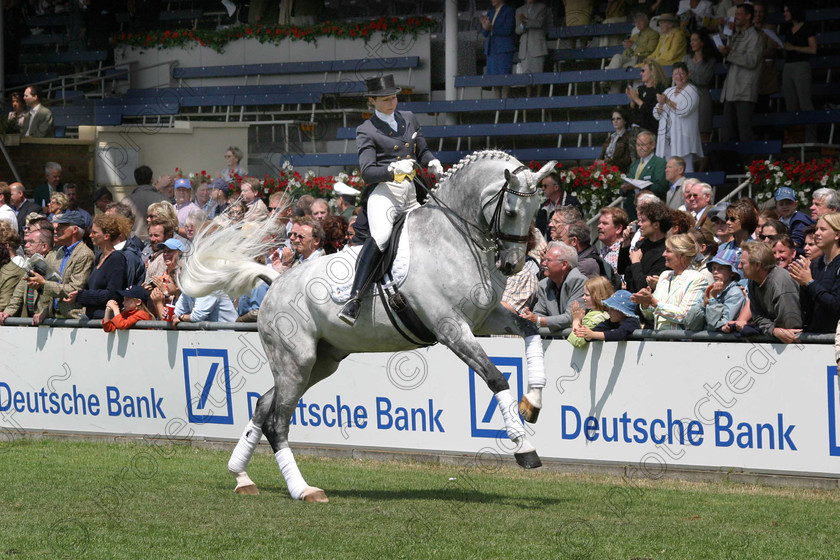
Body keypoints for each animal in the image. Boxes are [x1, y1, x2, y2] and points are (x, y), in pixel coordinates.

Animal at [180, 150, 556, 504]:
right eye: (511, 212)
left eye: (537, 208)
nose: (512, 265)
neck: (453, 240)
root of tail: (275, 282)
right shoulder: (452, 328)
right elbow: (496, 378)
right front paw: (524, 447)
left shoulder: (486, 317)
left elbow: (531, 331)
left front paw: (532, 403)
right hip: (295, 361)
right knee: (277, 421)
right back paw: (302, 489)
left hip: (319, 363)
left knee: (263, 404)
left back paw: (241, 476)